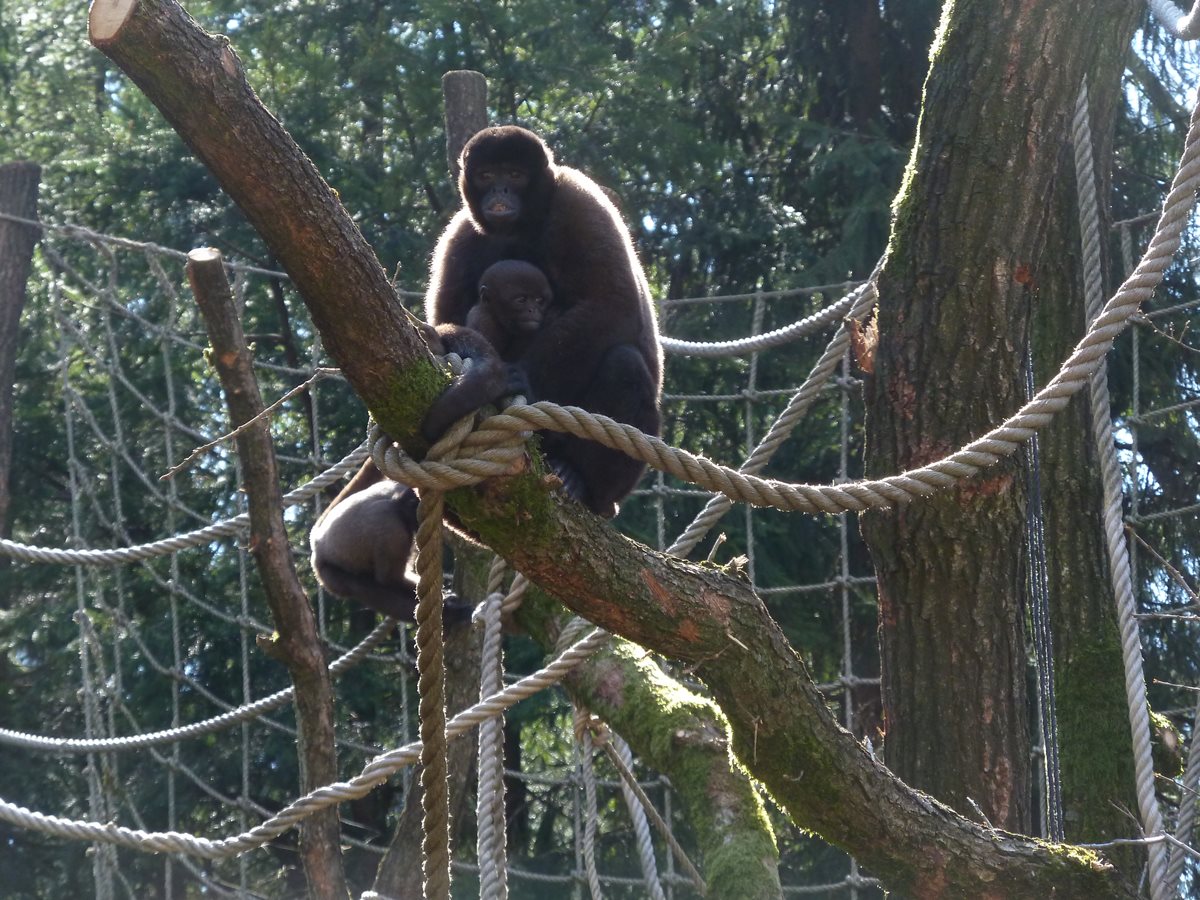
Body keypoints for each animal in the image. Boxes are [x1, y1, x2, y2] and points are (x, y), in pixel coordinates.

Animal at [426, 125, 663, 518]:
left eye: (515, 175)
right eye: (486, 175)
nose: (500, 191)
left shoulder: (577, 202)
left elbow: (613, 303)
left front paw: (520, 377)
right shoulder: (460, 236)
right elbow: (448, 318)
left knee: (624, 363)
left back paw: (581, 481)